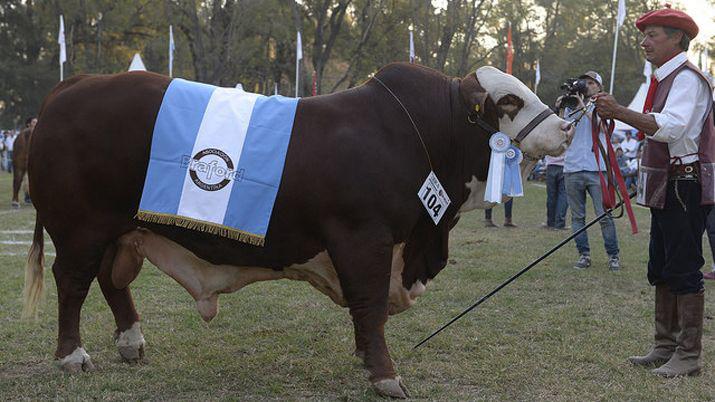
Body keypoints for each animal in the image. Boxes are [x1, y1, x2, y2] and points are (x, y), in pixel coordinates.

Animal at [21, 63, 572, 398]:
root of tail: (74, 85)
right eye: (509, 102)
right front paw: (385, 375)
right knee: (73, 282)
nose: (566, 127)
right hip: (80, 228)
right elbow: (371, 303)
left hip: (120, 230)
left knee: (112, 281)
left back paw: (132, 343)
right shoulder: (364, 238)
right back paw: (72, 356)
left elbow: (366, 311)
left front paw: (367, 358)